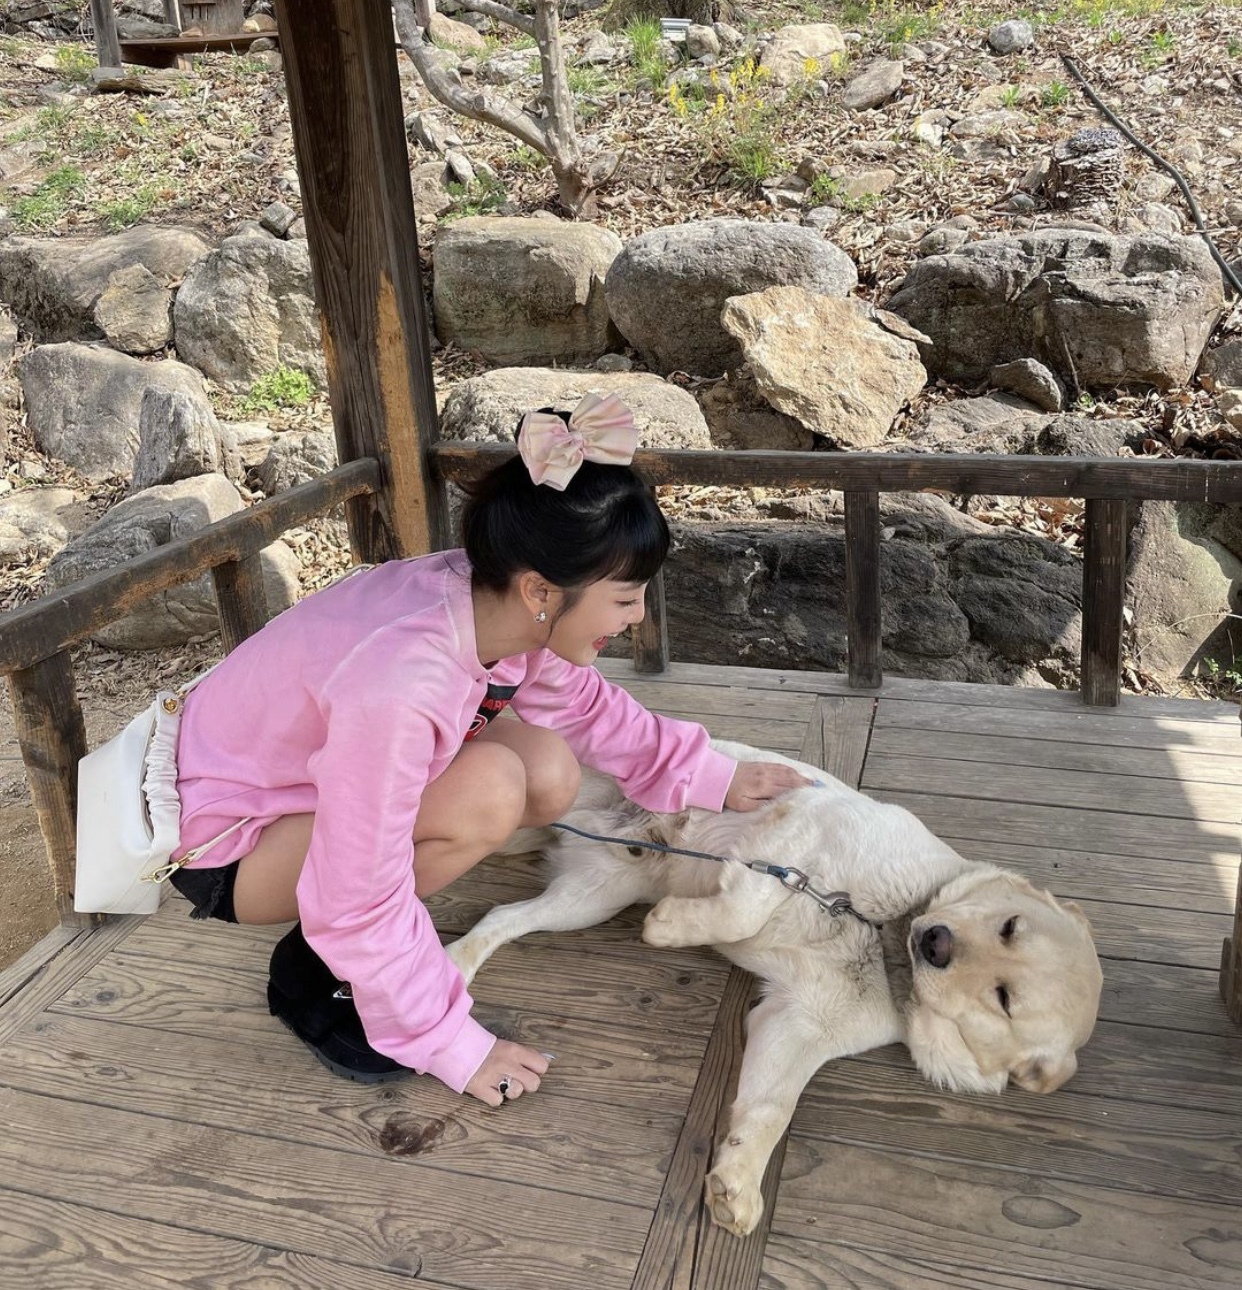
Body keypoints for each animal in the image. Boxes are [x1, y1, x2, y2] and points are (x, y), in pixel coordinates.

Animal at [447, 741, 1103, 1237]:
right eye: (1009, 925)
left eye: (1004, 998)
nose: (935, 942)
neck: (879, 933)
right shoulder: (795, 840)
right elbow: (741, 911)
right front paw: (671, 926)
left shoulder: (796, 1024)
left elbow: (769, 1110)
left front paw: (736, 1182)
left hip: (590, 899)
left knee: (503, 917)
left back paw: (458, 961)